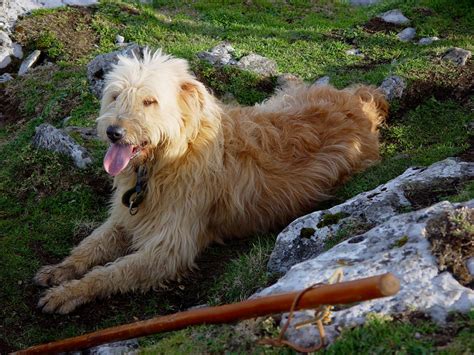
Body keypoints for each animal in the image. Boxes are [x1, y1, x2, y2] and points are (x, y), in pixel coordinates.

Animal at [34, 48, 388, 312]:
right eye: (115, 96)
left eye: (149, 101)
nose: (113, 132)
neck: (169, 155)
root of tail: (361, 101)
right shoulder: (126, 216)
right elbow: (91, 244)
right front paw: (61, 270)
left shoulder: (168, 249)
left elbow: (114, 272)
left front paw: (70, 292)